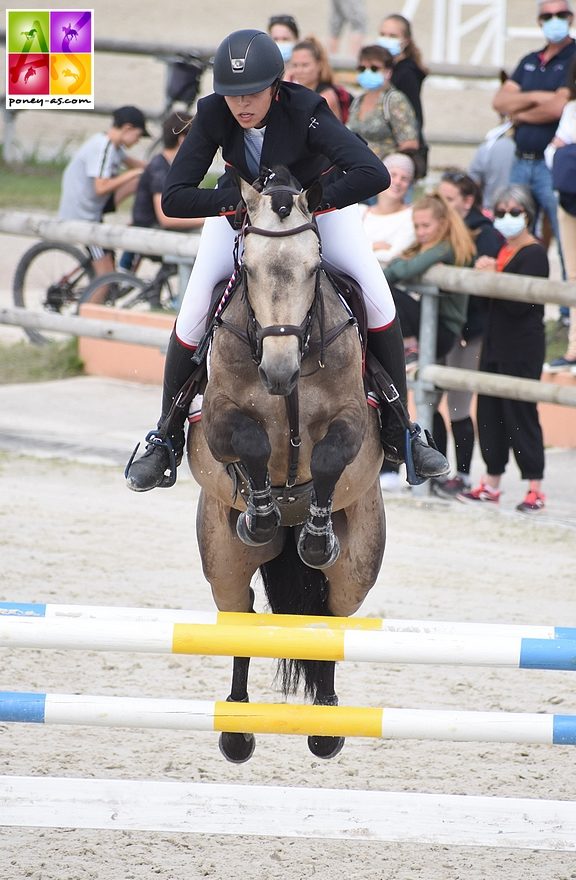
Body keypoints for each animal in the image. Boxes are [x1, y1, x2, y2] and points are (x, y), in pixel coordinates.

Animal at [189, 168, 388, 760]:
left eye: (312, 268)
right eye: (248, 270)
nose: (279, 371)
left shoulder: (353, 422)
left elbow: (325, 456)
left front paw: (316, 536)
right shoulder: (218, 421)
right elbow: (250, 444)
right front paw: (261, 513)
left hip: (358, 566)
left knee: (329, 616)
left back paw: (326, 727)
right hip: (222, 558)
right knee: (241, 618)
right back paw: (236, 729)